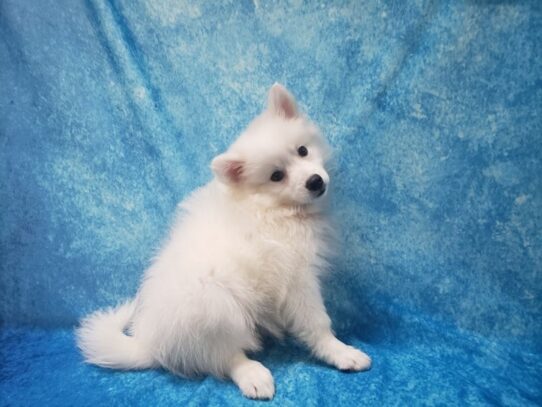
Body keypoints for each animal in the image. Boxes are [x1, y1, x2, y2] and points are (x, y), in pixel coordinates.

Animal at [76, 84, 372, 400]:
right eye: (276, 176)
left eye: (303, 150)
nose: (315, 181)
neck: (276, 209)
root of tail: (151, 343)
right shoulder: (297, 279)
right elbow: (318, 323)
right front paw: (340, 352)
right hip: (215, 304)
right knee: (220, 356)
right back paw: (252, 374)